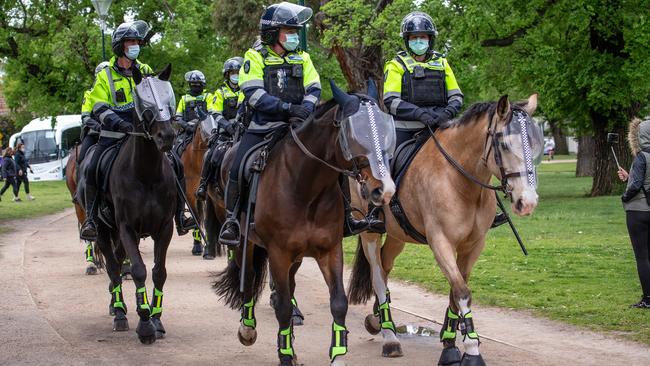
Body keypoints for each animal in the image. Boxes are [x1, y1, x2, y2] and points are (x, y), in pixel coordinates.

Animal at [76, 65, 177, 344]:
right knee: (112, 266)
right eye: (146, 104)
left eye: (168, 99)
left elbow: (159, 272)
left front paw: (156, 319)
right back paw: (120, 313)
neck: (147, 175)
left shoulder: (164, 229)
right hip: (102, 229)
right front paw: (144, 325)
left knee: (119, 263)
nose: (167, 136)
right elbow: (139, 270)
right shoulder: (127, 228)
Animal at [213, 81, 394, 366]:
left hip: (296, 256)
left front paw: (338, 355)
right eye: (355, 134)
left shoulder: (329, 250)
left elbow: (338, 302)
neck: (306, 186)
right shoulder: (278, 252)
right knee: (250, 278)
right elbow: (283, 306)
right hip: (246, 241)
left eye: (387, 131)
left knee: (289, 284)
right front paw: (285, 355)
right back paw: (247, 328)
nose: (384, 190)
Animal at [346, 95, 540, 366]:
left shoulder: (473, 245)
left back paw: (377, 320)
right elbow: (462, 291)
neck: (462, 182)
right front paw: (471, 351)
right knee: (377, 274)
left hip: (398, 236)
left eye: (534, 142)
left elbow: (455, 291)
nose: (527, 201)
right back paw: (390, 338)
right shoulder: (441, 242)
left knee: (385, 268)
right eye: (504, 144)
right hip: (369, 233)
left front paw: (449, 343)